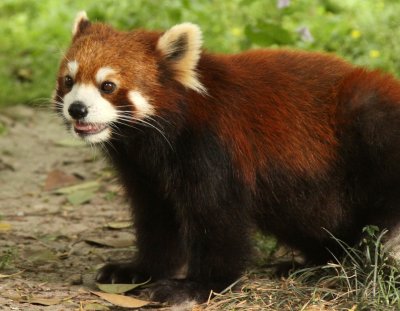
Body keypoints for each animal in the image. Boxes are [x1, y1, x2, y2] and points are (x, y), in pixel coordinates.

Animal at [54, 12, 400, 304]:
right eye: (69, 81)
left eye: (108, 85)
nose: (77, 109)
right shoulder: (145, 172)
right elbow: (156, 220)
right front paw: (139, 270)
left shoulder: (212, 149)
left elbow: (217, 218)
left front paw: (197, 286)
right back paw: (315, 263)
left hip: (365, 117)